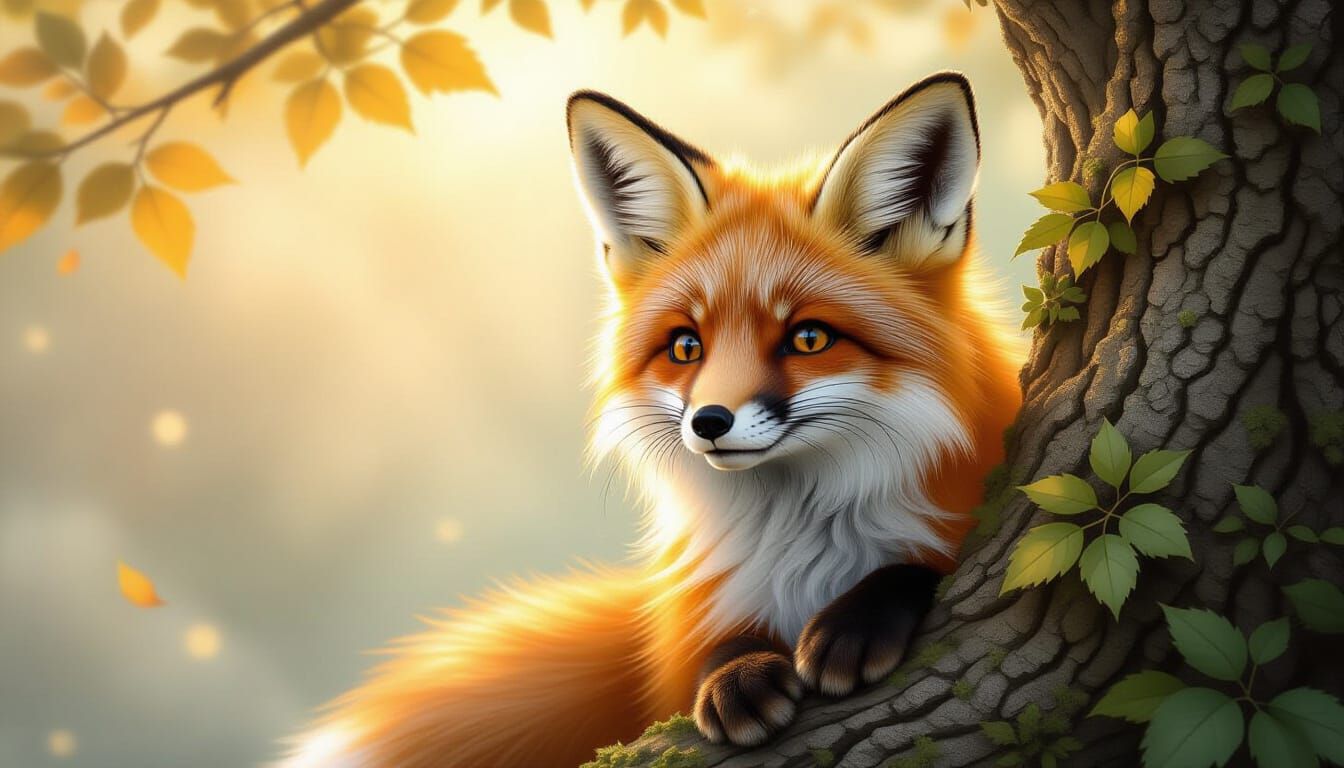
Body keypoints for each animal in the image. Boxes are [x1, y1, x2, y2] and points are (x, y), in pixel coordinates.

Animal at [279, 71, 1024, 768]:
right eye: (686, 347)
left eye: (808, 338)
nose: (710, 422)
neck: (804, 543)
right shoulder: (688, 624)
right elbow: (707, 657)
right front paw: (736, 675)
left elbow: (924, 563)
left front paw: (857, 621)